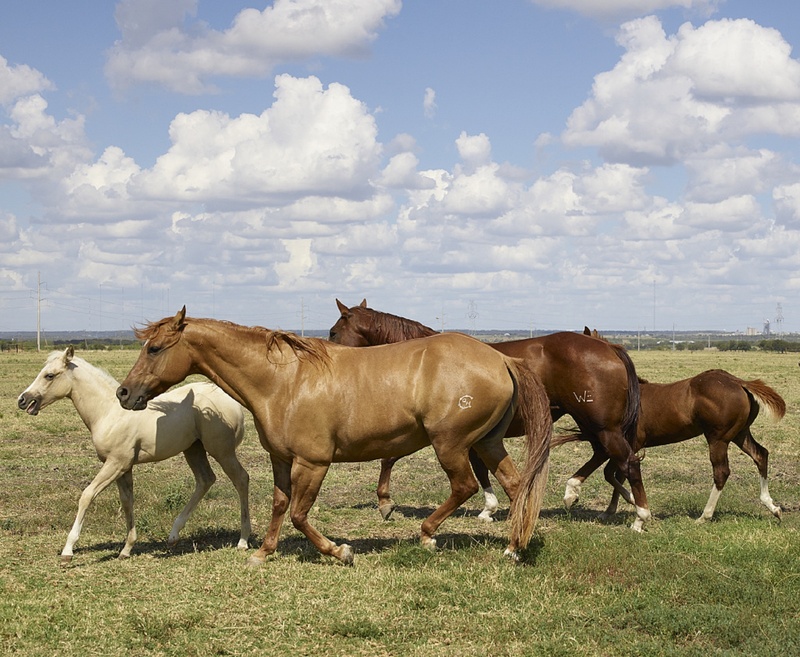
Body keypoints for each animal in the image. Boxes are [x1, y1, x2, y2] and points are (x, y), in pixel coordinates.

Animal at [17, 346, 251, 563]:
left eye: (49, 375)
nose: (22, 400)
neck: (109, 412)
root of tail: (232, 401)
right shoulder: (124, 467)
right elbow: (127, 501)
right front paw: (126, 549)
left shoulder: (115, 463)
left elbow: (87, 495)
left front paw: (68, 551)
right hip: (193, 449)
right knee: (205, 480)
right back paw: (173, 536)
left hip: (221, 451)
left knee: (241, 479)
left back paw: (243, 540)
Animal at [116, 307, 552, 566]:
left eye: (154, 348)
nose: (124, 393)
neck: (283, 381)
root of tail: (501, 358)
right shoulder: (281, 459)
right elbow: (279, 504)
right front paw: (263, 552)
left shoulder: (313, 462)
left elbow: (299, 513)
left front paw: (340, 551)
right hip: (488, 442)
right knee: (516, 485)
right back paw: (514, 547)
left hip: (452, 444)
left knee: (465, 486)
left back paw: (429, 536)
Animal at [329, 299, 650, 530]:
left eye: (333, 332)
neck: (423, 359)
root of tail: (609, 347)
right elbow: (484, 470)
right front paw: (493, 508)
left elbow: (389, 457)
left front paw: (385, 501)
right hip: (593, 423)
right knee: (605, 454)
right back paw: (575, 490)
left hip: (602, 425)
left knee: (628, 461)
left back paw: (640, 515)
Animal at [554, 359, 786, 522]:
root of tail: (739, 382)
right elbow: (615, 474)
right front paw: (612, 509)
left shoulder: (624, 444)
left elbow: (612, 473)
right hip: (739, 434)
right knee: (760, 454)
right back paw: (772, 507)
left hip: (717, 438)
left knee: (721, 472)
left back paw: (704, 516)